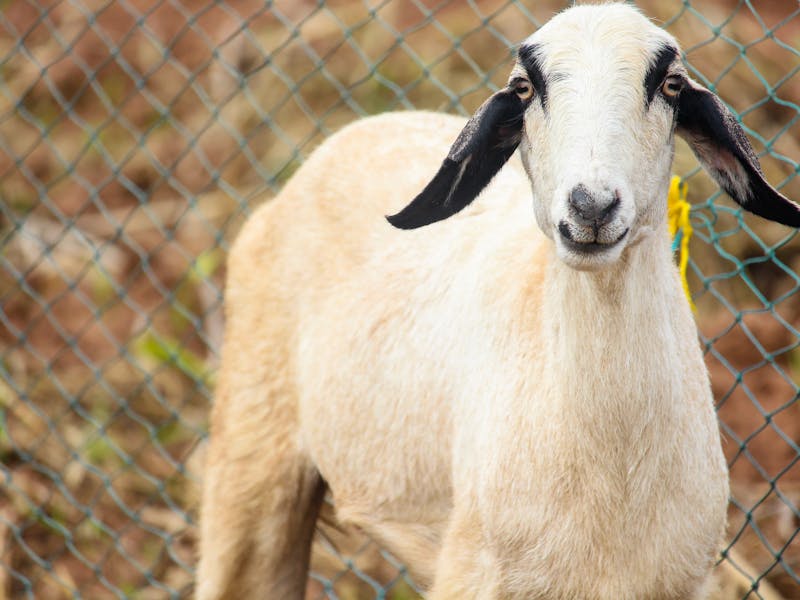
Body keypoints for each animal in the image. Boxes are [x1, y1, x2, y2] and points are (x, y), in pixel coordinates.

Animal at [197, 4, 800, 599]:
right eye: (526, 88)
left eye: (671, 85)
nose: (591, 207)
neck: (615, 476)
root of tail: (362, 129)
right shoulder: (473, 573)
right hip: (251, 458)